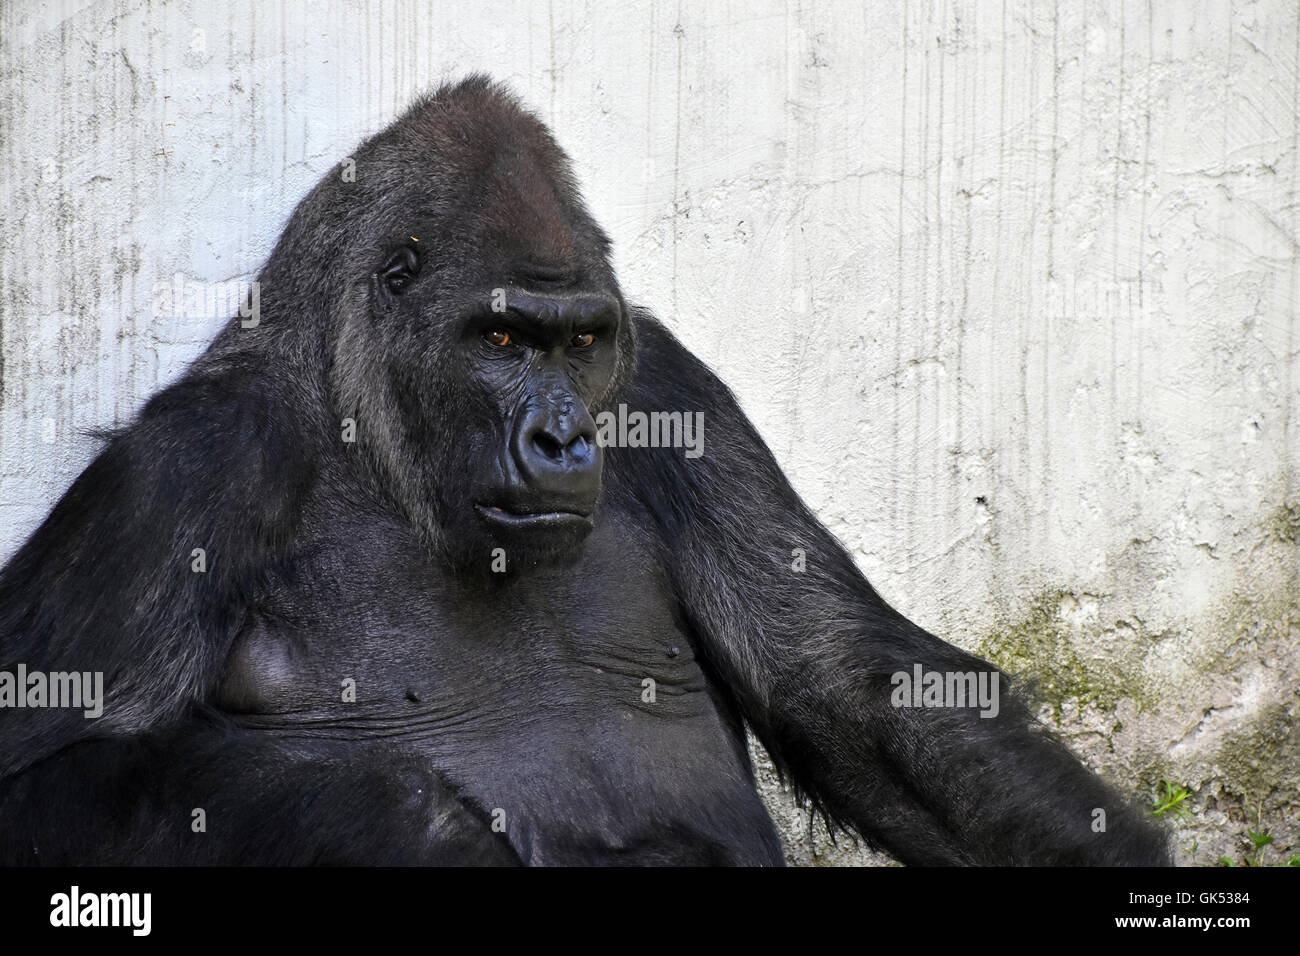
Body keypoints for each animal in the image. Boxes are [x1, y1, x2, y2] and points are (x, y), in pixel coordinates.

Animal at [0, 74, 1175, 868]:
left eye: (578, 343)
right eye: (502, 340)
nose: (562, 439)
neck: (373, 432)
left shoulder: (670, 391)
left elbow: (844, 681)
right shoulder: (185, 469)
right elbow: (43, 770)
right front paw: (420, 830)